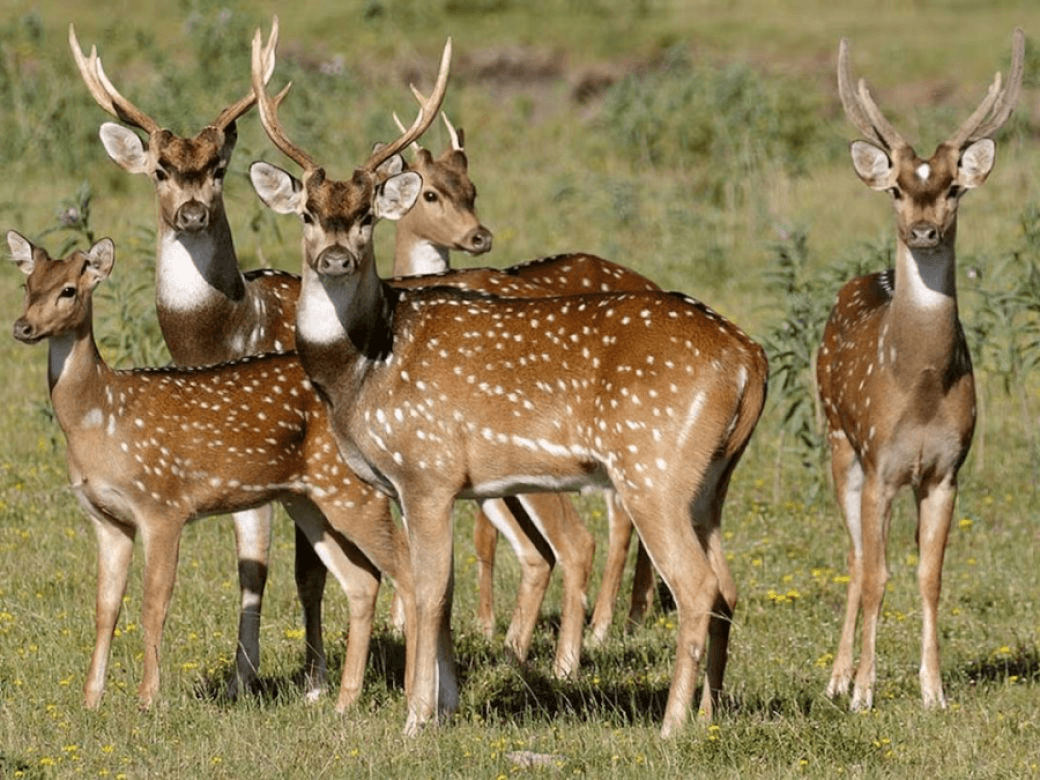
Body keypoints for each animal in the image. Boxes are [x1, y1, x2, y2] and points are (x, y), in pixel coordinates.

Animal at [7, 228, 419, 714]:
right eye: (27, 285)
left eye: (69, 290)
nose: (22, 327)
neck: (101, 415)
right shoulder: (105, 518)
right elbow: (105, 607)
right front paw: (91, 700)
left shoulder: (162, 505)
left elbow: (154, 604)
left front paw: (148, 700)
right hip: (309, 500)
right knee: (363, 581)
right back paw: (342, 701)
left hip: (351, 489)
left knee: (408, 570)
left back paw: (414, 698)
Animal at [67, 22, 331, 699]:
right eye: (160, 168)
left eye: (217, 168)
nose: (192, 212)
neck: (232, 332)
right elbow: (251, 564)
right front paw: (241, 677)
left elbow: (305, 568)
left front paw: (315, 681)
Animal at [247, 23, 768, 737]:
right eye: (306, 213)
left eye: (367, 217)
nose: (334, 258)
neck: (363, 370)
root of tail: (751, 357)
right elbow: (438, 590)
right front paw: (444, 705)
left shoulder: (428, 470)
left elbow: (429, 587)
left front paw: (415, 718)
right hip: (710, 481)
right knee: (729, 585)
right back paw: (710, 713)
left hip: (653, 467)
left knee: (697, 586)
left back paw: (670, 726)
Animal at [817, 29, 1024, 712]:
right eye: (897, 189)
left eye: (955, 188)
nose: (925, 230)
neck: (921, 389)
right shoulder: (882, 465)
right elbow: (878, 575)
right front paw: (863, 692)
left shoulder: (945, 471)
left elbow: (929, 576)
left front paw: (933, 691)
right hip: (838, 441)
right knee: (854, 557)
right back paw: (836, 678)